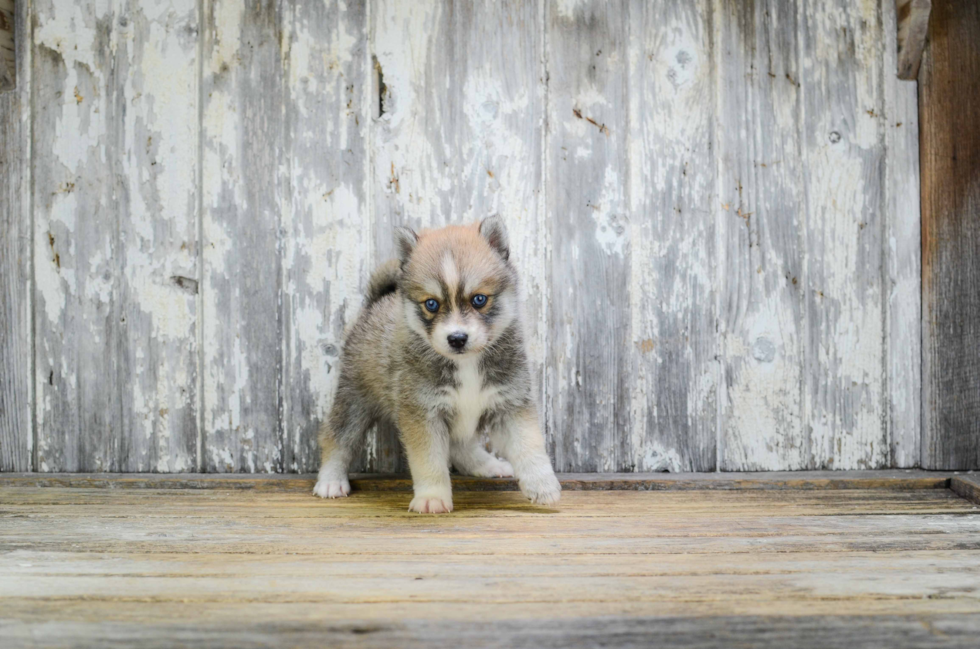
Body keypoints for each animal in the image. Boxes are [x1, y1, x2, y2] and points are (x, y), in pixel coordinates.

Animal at [312, 218, 560, 512]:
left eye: (479, 299)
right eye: (431, 304)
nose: (457, 338)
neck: (466, 363)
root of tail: (375, 304)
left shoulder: (511, 403)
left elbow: (530, 446)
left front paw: (542, 484)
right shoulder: (423, 413)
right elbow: (429, 460)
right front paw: (432, 497)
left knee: (461, 446)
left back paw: (487, 464)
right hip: (354, 401)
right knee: (337, 439)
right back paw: (330, 480)